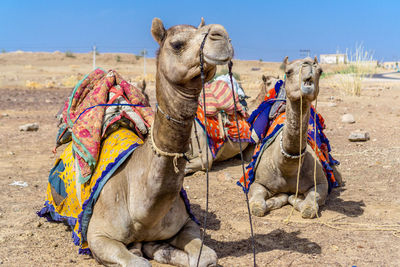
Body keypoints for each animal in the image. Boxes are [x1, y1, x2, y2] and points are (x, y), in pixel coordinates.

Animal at [83, 17, 231, 266]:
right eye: (177, 44)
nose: (221, 35)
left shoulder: (186, 223)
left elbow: (207, 256)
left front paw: (159, 249)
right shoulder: (97, 236)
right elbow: (137, 261)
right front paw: (142, 251)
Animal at [247, 56, 340, 220]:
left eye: (320, 71)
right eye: (288, 71)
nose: (309, 64)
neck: (287, 166)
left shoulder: (321, 184)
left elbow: (309, 208)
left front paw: (293, 198)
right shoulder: (257, 183)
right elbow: (257, 206)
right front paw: (277, 199)